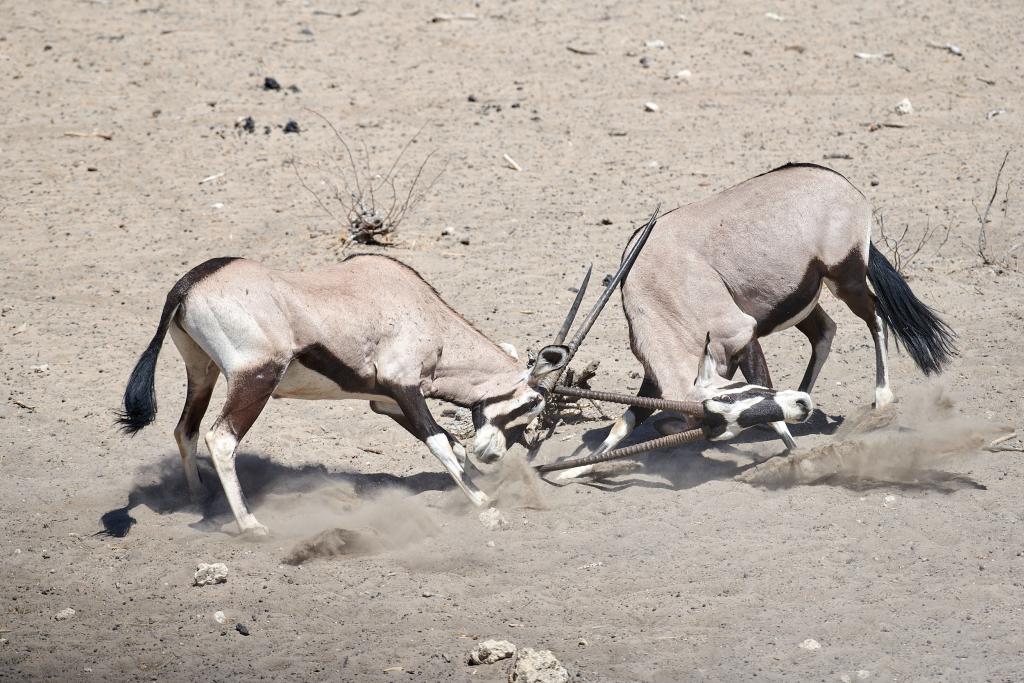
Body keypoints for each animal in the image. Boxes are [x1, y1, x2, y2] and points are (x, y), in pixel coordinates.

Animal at [557, 163, 954, 481]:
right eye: (722, 425)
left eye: (732, 397)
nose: (800, 407)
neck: (658, 284)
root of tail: (839, 181)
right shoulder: (654, 376)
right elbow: (625, 422)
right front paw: (572, 470)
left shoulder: (742, 337)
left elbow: (767, 391)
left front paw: (796, 456)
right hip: (801, 298)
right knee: (825, 331)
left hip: (846, 278)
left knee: (876, 318)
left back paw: (880, 402)